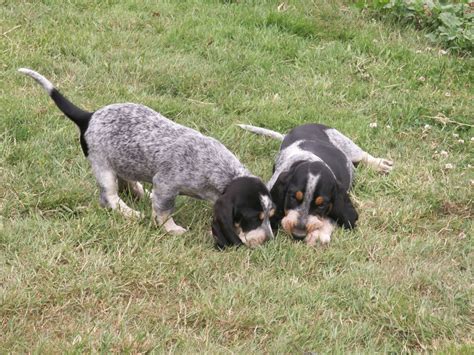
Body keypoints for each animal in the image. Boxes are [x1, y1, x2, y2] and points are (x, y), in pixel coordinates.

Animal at [20, 68, 276, 249]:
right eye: (253, 218)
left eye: (270, 216)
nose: (269, 240)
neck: (218, 169)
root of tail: (88, 116)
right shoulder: (167, 185)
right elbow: (163, 212)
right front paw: (172, 229)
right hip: (103, 168)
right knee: (109, 198)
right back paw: (130, 213)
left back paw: (139, 192)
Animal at [239, 124, 394, 246]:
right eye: (293, 197)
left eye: (321, 205)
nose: (298, 235)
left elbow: (330, 219)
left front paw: (318, 234)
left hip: (348, 146)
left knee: (364, 156)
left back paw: (381, 165)